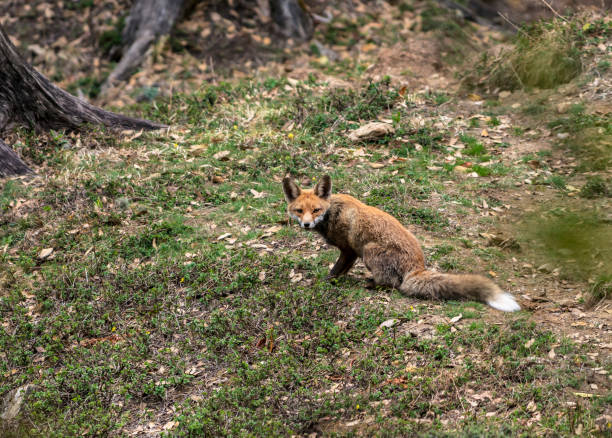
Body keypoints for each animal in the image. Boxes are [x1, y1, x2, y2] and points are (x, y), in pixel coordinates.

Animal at [284, 175, 520, 312]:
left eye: (316, 210)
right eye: (299, 210)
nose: (306, 224)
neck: (333, 212)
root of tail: (417, 268)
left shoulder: (349, 251)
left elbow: (335, 271)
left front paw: (325, 283)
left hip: (369, 251)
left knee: (392, 283)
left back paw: (371, 284)